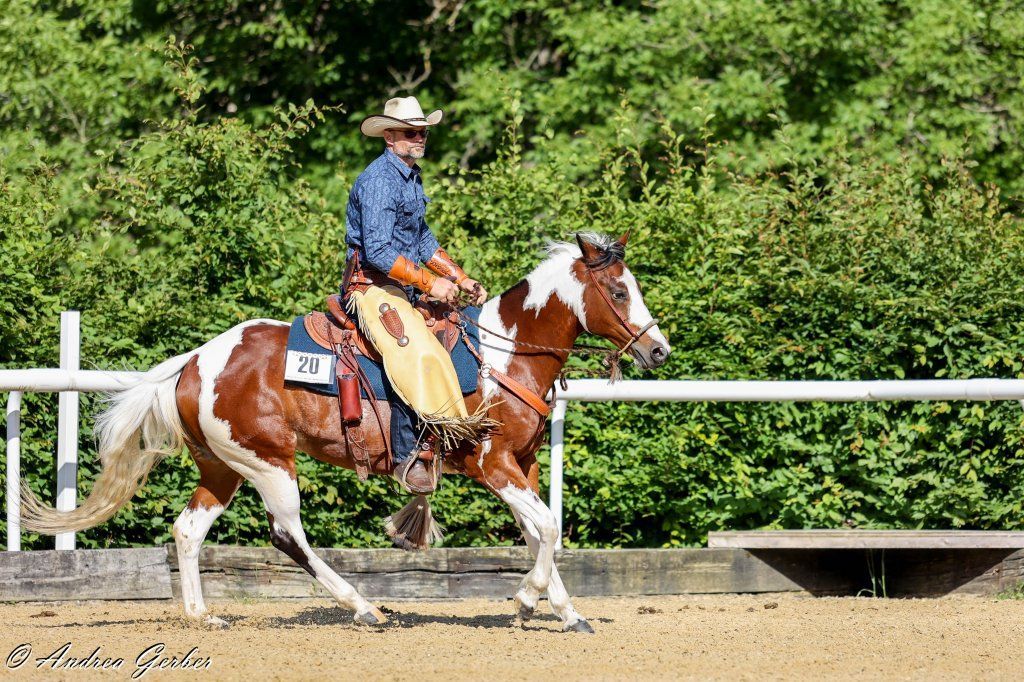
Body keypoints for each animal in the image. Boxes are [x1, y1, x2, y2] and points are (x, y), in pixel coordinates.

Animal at [22, 231, 671, 633]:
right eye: (619, 291)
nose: (659, 350)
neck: (503, 355)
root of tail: (195, 361)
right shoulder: (493, 466)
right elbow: (549, 528)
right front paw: (529, 598)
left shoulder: (524, 466)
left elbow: (540, 532)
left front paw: (563, 610)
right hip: (269, 463)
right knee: (288, 536)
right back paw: (363, 607)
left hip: (223, 466)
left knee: (187, 530)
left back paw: (203, 615)